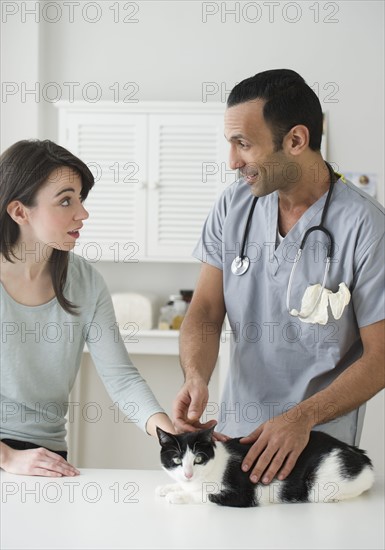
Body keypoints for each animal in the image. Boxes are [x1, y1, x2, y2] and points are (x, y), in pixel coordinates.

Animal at [154, 426, 374, 508]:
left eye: (198, 459)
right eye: (177, 460)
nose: (188, 474)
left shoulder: (245, 493)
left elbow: (207, 494)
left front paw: (179, 495)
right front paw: (169, 487)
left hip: (320, 486)